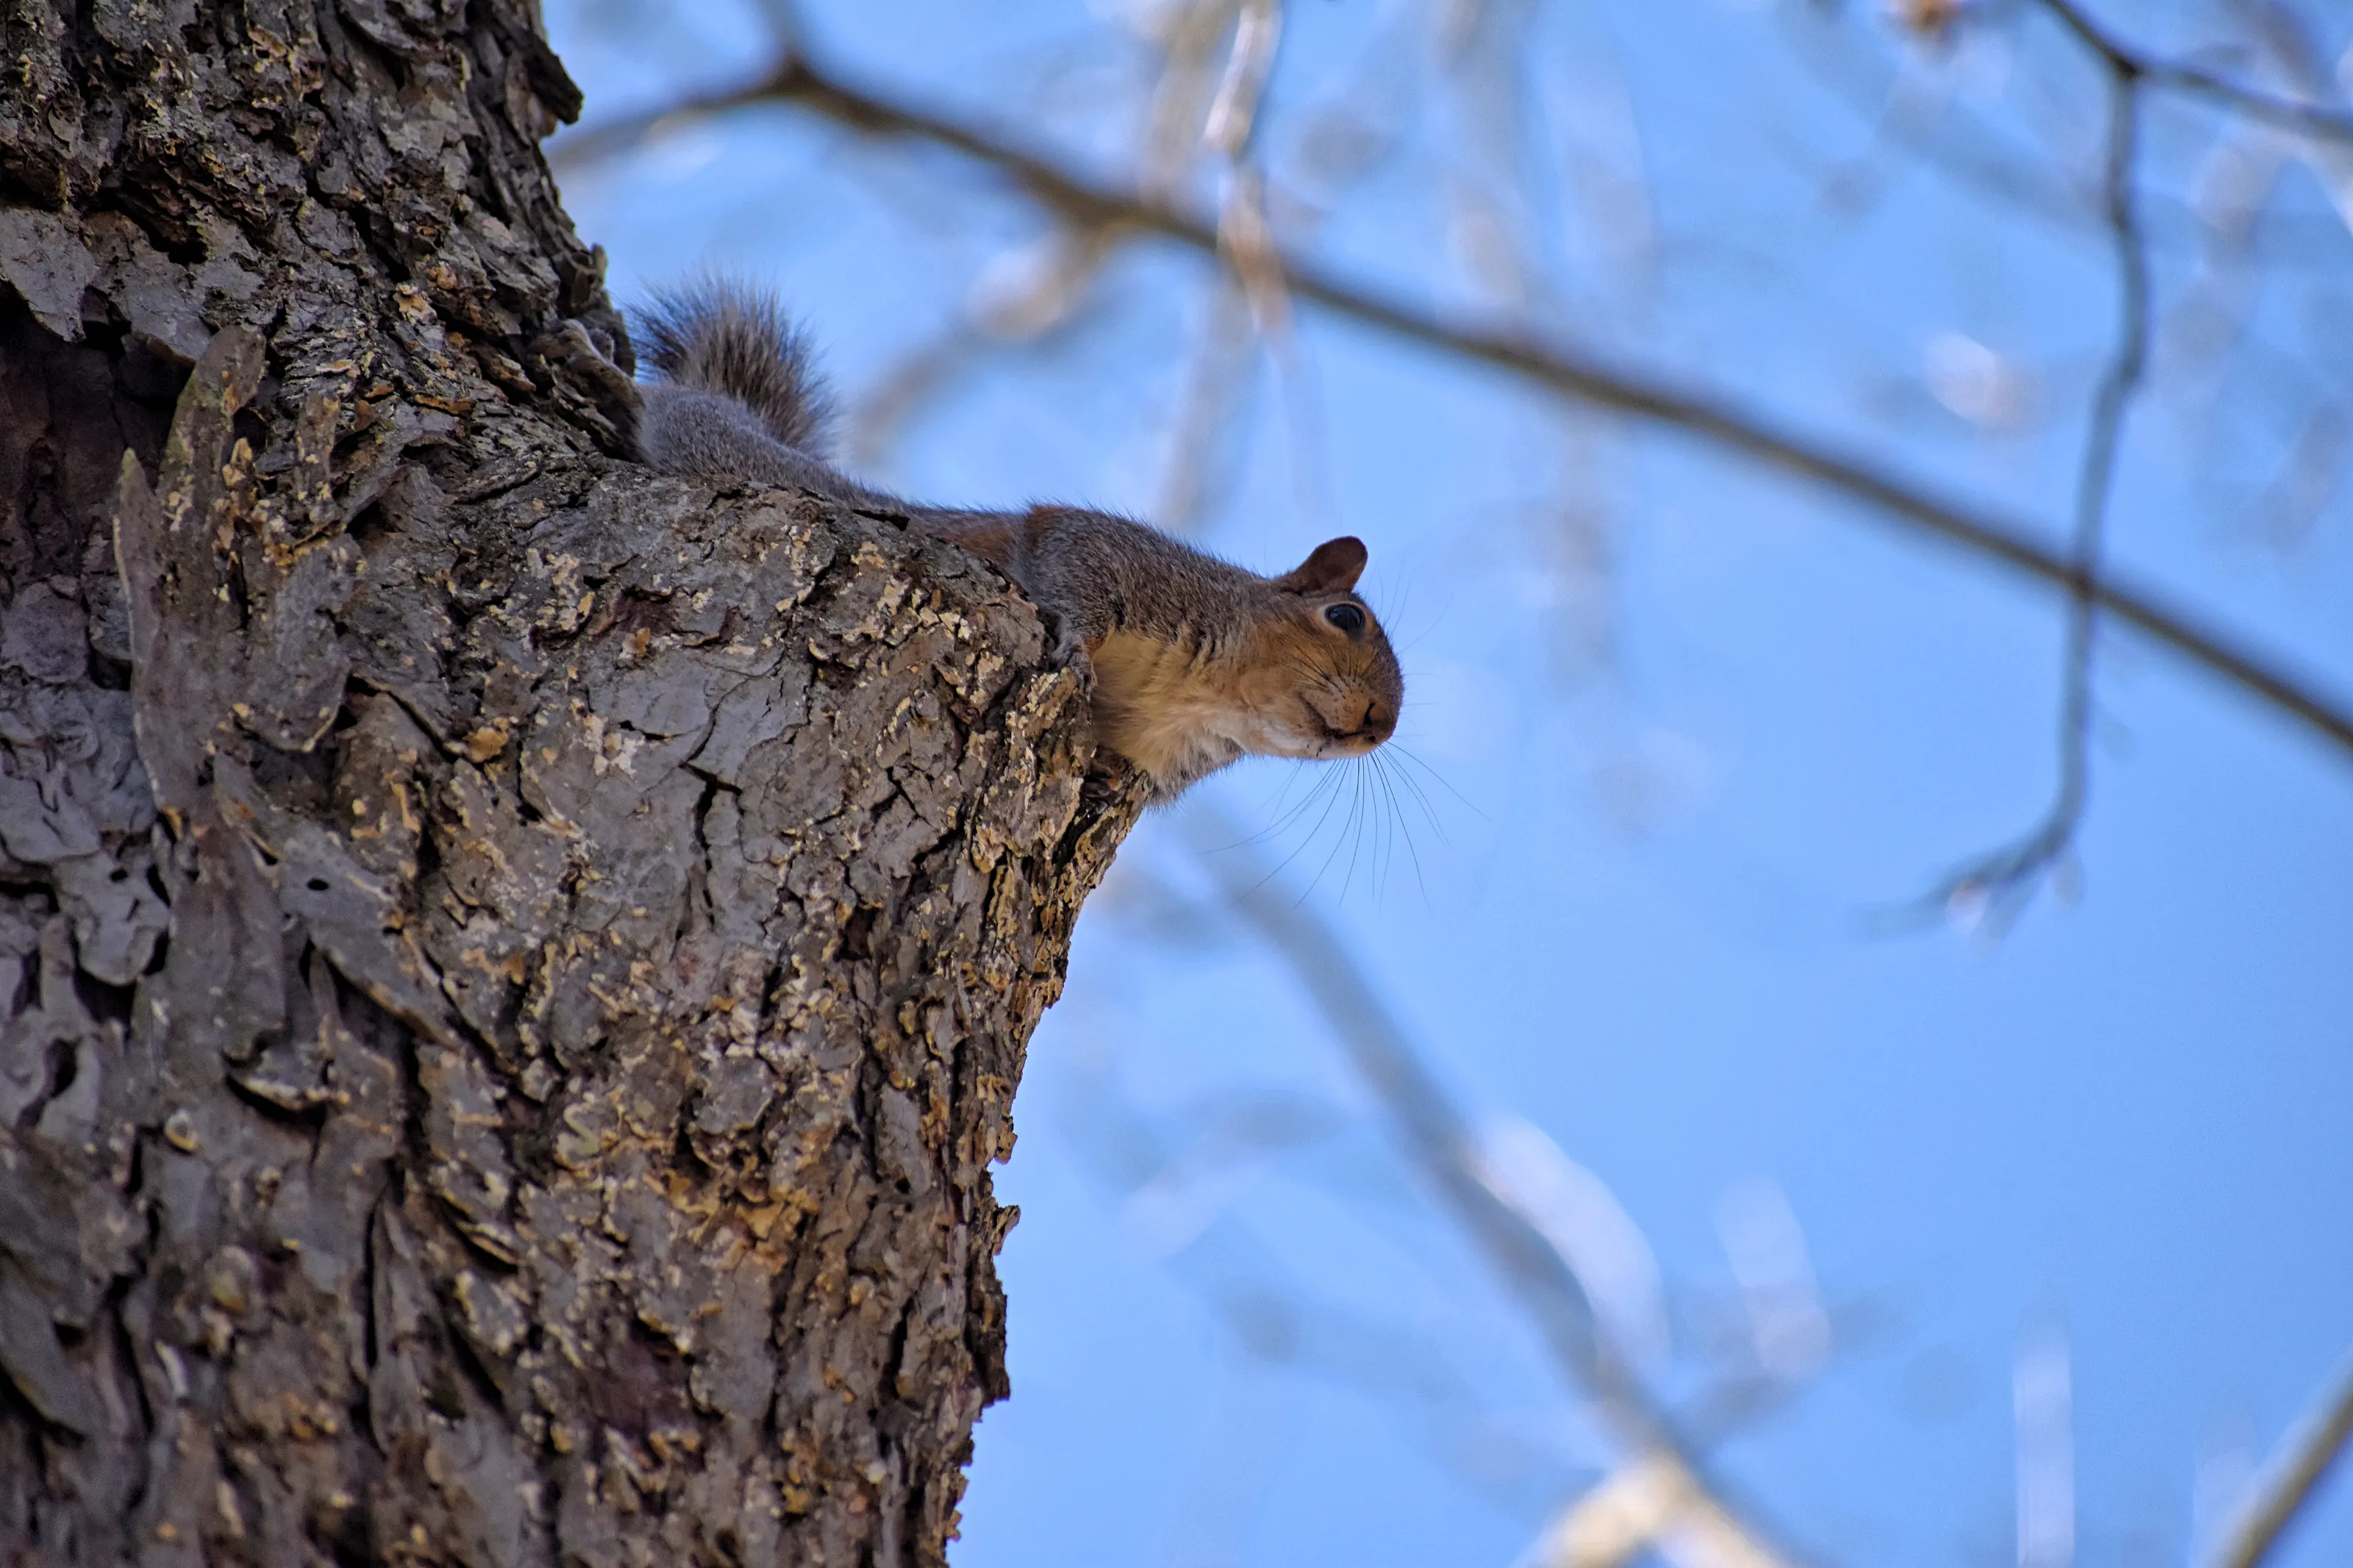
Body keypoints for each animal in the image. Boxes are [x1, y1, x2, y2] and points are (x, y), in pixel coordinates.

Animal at [540, 278, 1402, 799]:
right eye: (1345, 617)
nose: (1379, 726)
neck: (1203, 697)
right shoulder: (1110, 553)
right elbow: (1070, 575)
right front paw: (1076, 643)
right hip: (724, 451)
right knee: (676, 410)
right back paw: (601, 367)